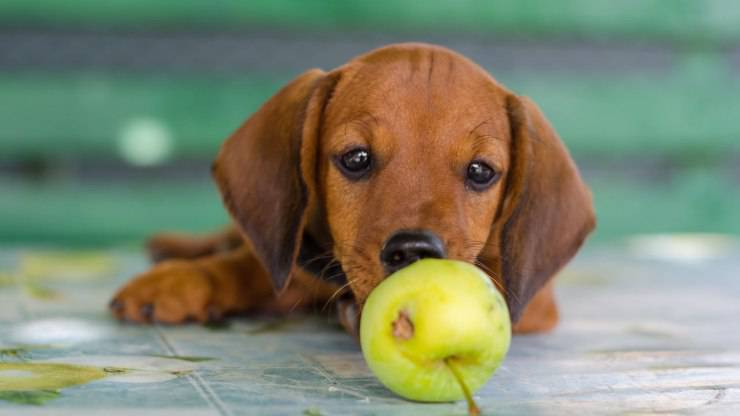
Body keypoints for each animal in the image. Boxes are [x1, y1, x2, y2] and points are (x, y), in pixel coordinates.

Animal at [110, 42, 596, 334]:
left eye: (480, 171)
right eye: (356, 158)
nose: (414, 251)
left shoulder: (534, 302)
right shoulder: (298, 260)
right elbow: (245, 267)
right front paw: (179, 283)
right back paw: (176, 249)